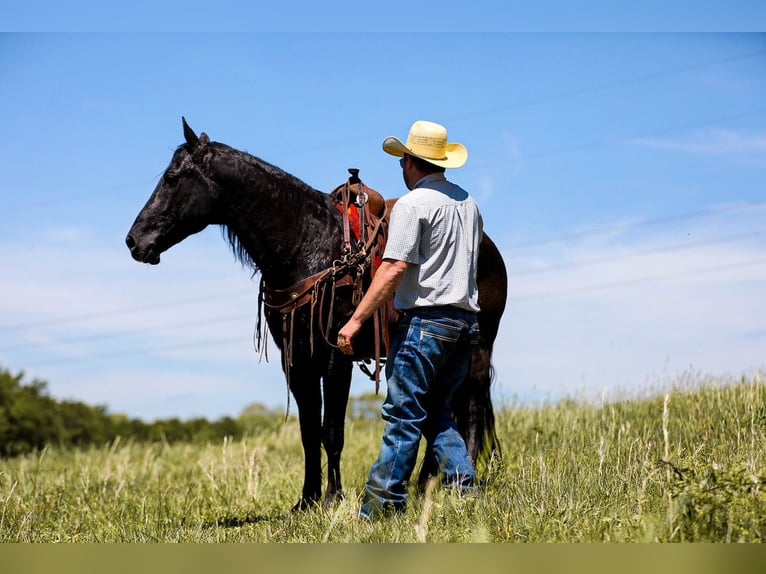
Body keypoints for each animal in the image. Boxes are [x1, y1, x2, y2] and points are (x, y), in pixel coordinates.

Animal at [126, 118, 508, 511]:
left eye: (172, 178)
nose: (134, 241)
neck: (310, 246)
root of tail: (487, 246)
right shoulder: (296, 360)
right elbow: (309, 430)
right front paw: (307, 498)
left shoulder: (335, 356)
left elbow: (332, 430)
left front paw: (332, 498)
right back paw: (426, 482)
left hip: (478, 351)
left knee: (471, 410)